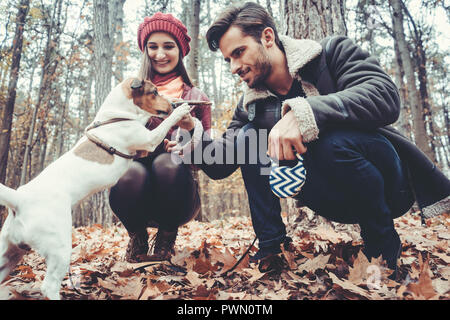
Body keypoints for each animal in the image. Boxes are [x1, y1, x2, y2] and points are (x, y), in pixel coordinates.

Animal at [0, 77, 192, 300]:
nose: (173, 104)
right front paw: (180, 112)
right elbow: (160, 125)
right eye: (154, 92)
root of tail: (19, 200)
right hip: (59, 248)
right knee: (48, 286)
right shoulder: (148, 140)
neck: (116, 116)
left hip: (9, 252)